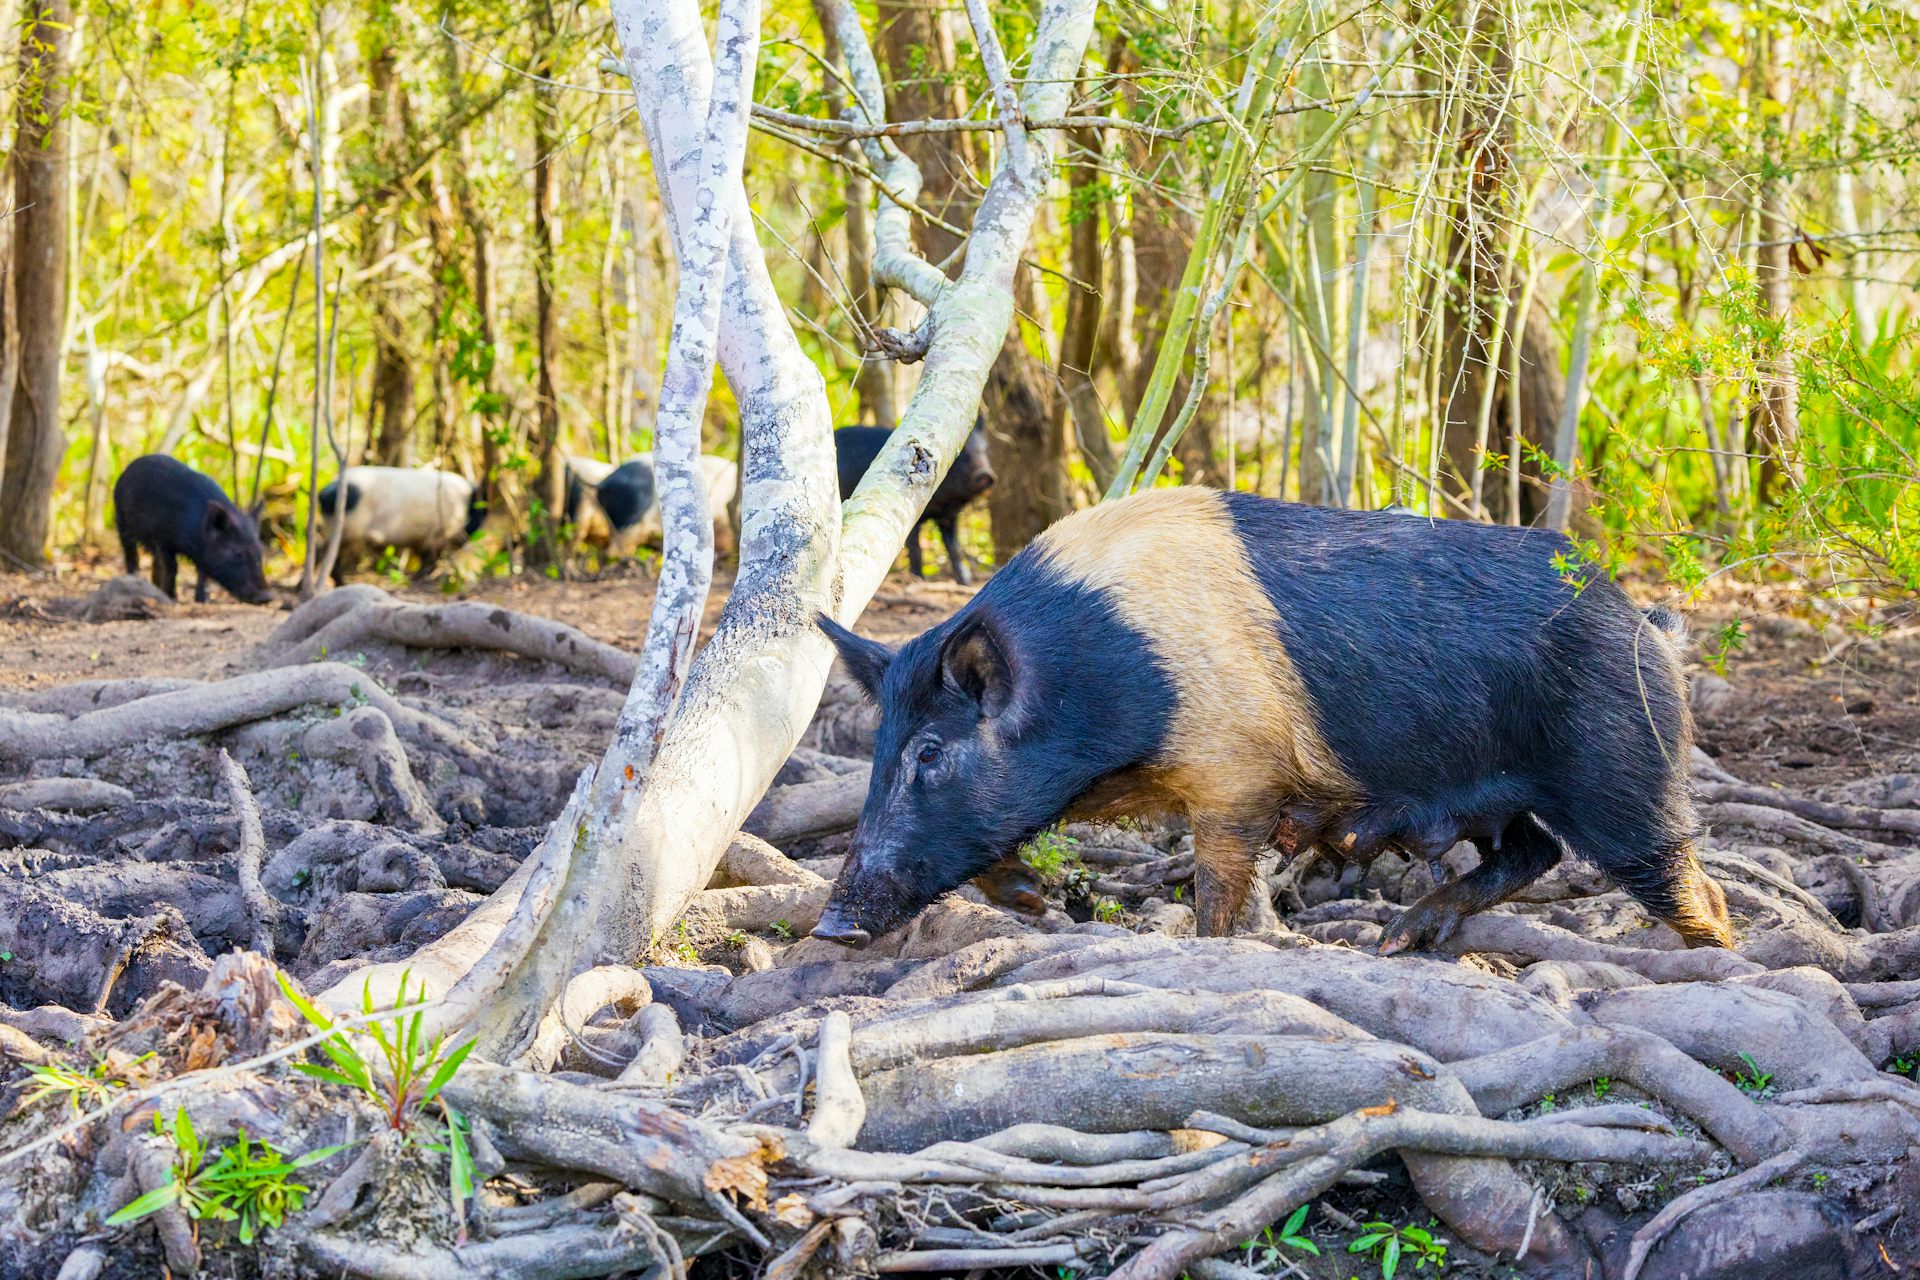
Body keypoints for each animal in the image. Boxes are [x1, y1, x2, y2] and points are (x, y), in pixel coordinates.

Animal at [113, 455, 273, 604]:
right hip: (121, 522)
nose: (266, 597)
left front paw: (202, 600)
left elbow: (202, 574)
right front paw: (172, 598)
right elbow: (172, 568)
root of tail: (126, 471)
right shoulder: (162, 540)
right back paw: (134, 578)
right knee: (131, 554)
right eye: (237, 553)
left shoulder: (202, 555)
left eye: (260, 551)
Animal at [317, 466, 484, 584]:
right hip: (348, 528)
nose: (469, 538)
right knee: (330, 554)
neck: (463, 506)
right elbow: (430, 557)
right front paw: (416, 577)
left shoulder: (422, 536)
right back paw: (342, 583)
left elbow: (426, 556)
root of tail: (324, 494)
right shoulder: (437, 532)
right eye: (478, 515)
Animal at [812, 486, 1732, 955]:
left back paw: (1707, 960)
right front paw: (1036, 901)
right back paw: (1401, 940)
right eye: (880, 751)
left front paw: (1209, 949)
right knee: (1533, 851)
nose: (831, 925)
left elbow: (1220, 885)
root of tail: (1649, 622)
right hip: (1506, 794)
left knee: (1686, 879)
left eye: (931, 753)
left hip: (1625, 770)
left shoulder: (1236, 774)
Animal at [836, 416, 996, 585]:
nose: (986, 475)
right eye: (963, 453)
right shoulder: (912, 517)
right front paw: (918, 580)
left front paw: (965, 582)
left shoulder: (948, 517)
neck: (944, 502)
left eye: (985, 450)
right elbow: (916, 549)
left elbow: (954, 548)